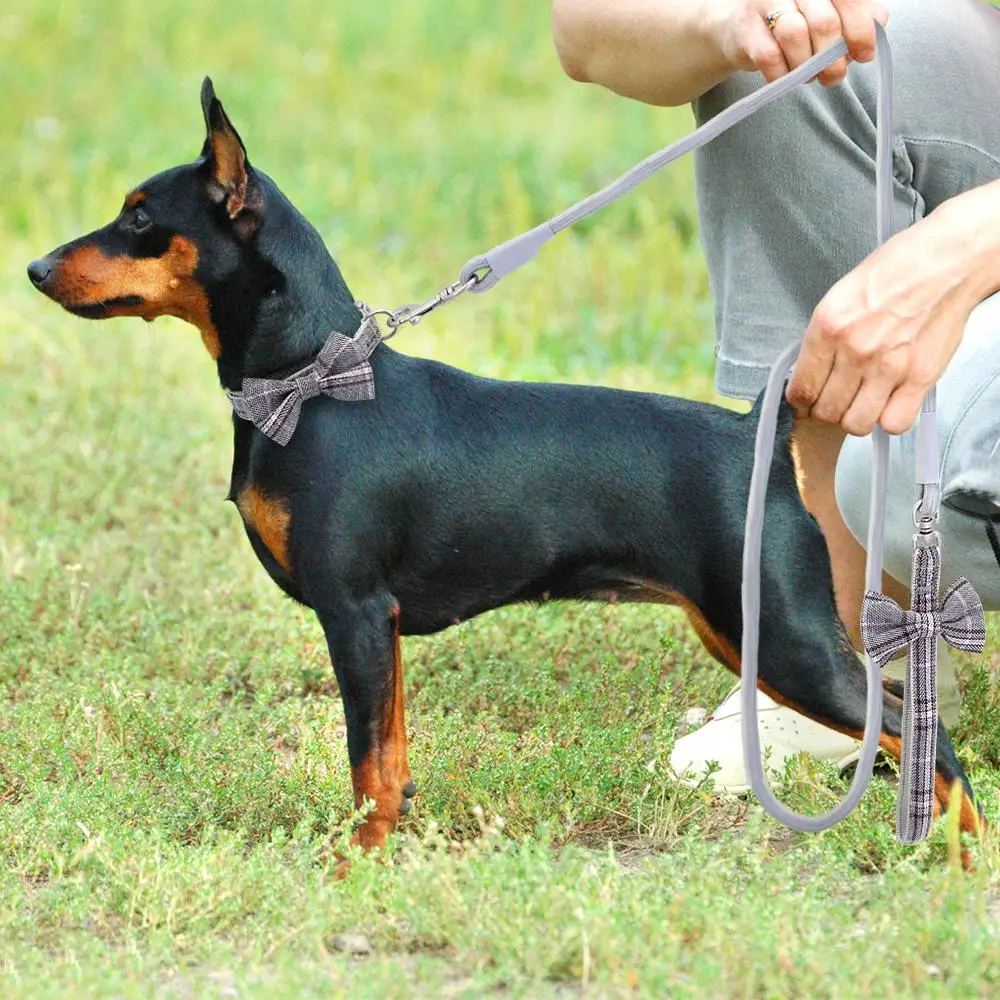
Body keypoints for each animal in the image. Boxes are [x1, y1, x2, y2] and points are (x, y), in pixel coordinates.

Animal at [27, 78, 980, 852]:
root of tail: (757, 435)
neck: (311, 384)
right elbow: (390, 755)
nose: (34, 267)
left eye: (140, 218)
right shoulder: (377, 627)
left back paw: (957, 858)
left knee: (922, 732)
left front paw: (354, 862)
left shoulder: (354, 612)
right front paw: (385, 842)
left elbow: (365, 759)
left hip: (782, 638)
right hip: (743, 631)